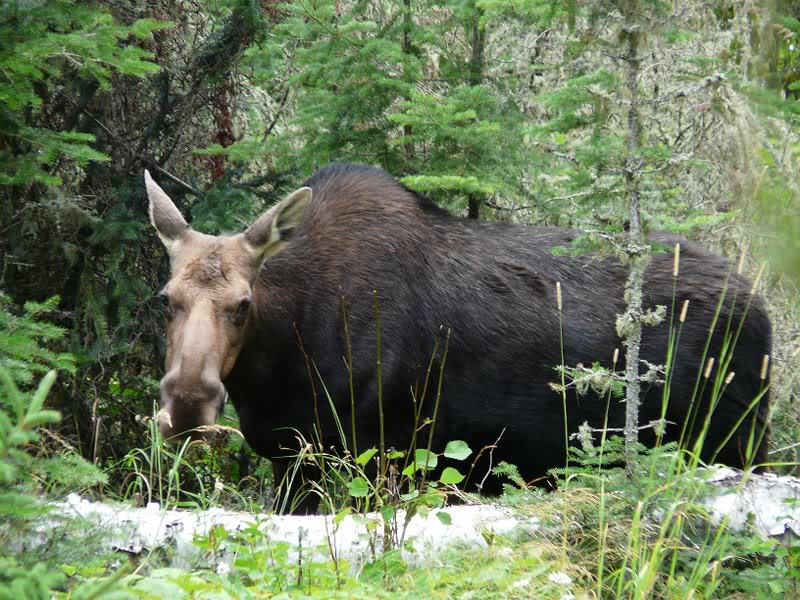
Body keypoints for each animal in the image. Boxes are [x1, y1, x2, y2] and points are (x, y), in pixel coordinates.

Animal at [144, 163, 771, 514]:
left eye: (243, 305)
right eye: (165, 297)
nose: (188, 404)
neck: (276, 370)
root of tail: (762, 308)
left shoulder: (384, 453)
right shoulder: (291, 458)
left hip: (738, 445)